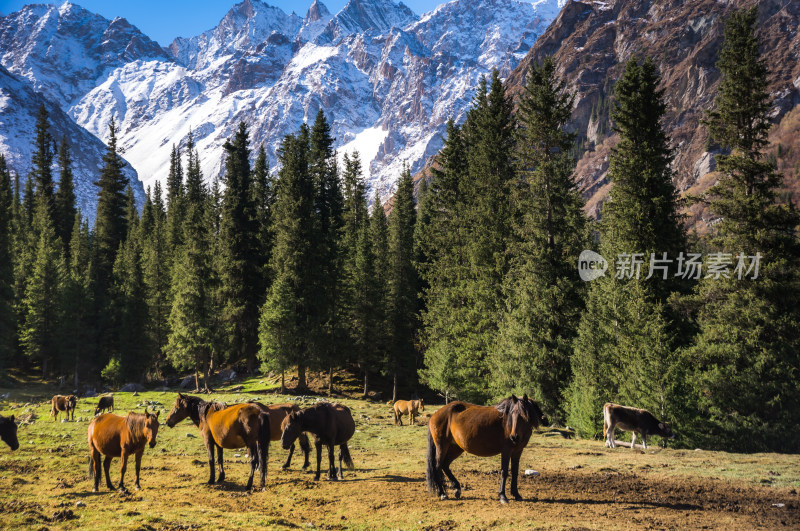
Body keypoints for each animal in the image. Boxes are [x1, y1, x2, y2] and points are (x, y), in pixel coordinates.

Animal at [424, 396, 552, 504]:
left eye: (523, 415)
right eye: (512, 413)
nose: (514, 437)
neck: (507, 423)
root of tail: (435, 414)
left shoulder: (517, 451)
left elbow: (515, 472)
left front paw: (516, 494)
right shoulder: (506, 450)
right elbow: (504, 471)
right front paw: (502, 496)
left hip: (456, 447)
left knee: (445, 465)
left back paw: (457, 489)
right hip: (442, 446)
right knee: (437, 466)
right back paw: (442, 494)